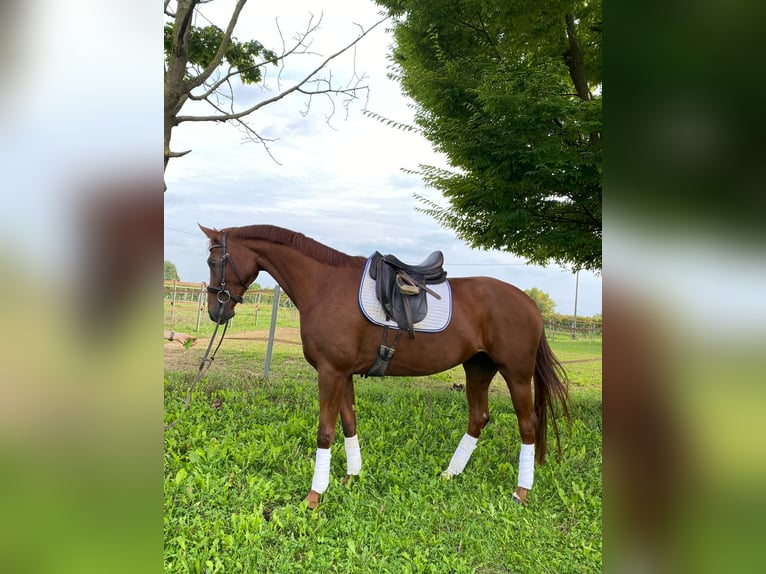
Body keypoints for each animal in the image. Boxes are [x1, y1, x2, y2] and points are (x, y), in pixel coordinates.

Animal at [199, 224, 569, 509]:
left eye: (214, 260)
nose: (216, 312)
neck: (324, 285)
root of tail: (531, 305)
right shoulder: (342, 373)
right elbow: (348, 423)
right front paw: (351, 477)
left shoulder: (331, 372)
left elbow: (325, 431)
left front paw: (314, 496)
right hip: (478, 368)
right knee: (479, 417)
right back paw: (450, 473)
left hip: (516, 374)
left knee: (528, 425)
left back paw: (521, 491)